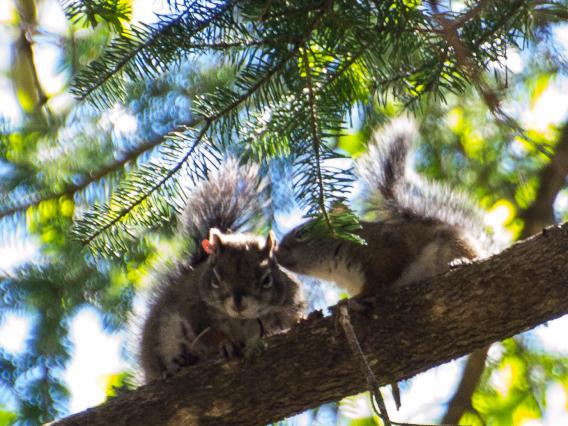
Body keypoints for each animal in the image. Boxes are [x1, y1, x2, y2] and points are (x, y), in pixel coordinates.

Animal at [140, 160, 304, 382]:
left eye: (267, 279)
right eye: (216, 278)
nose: (238, 303)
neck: (239, 319)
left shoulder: (289, 300)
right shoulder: (195, 310)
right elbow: (212, 336)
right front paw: (226, 344)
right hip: (164, 333)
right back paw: (181, 362)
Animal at [276, 119, 488, 300]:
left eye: (303, 233)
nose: (276, 253)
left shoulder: (386, 250)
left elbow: (382, 276)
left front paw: (356, 298)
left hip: (456, 243)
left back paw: (463, 261)